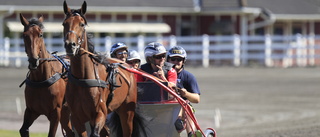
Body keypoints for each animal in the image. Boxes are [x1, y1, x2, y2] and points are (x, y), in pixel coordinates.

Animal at [61, 0, 146, 136]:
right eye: (64, 24)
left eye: (82, 24)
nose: (70, 45)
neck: (83, 78)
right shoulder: (76, 118)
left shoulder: (99, 113)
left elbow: (95, 132)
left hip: (127, 111)